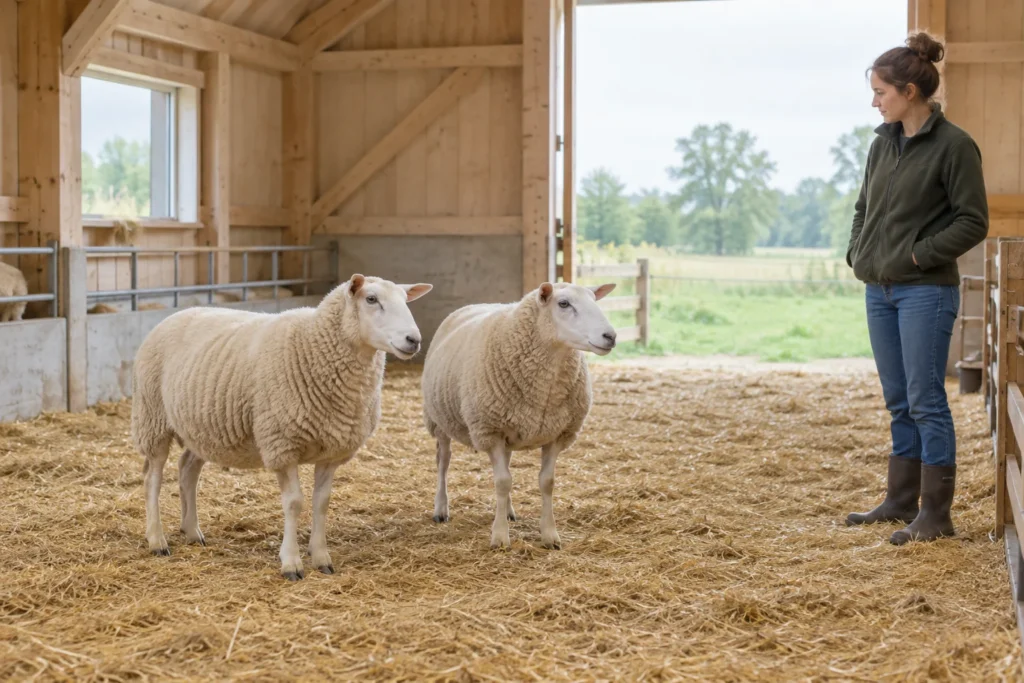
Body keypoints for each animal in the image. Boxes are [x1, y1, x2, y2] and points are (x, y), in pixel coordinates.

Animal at [131, 273, 433, 580]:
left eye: (405, 300)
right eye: (371, 299)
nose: (414, 340)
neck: (314, 344)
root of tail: (175, 315)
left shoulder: (332, 451)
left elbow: (322, 502)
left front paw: (321, 557)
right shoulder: (282, 444)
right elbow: (294, 502)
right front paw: (291, 562)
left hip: (202, 427)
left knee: (187, 470)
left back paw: (192, 531)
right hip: (152, 417)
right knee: (152, 478)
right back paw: (157, 540)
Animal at [421, 281, 618, 550]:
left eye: (594, 300)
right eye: (563, 303)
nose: (611, 336)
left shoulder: (557, 434)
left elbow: (546, 482)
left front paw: (549, 535)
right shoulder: (490, 430)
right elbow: (502, 482)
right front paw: (500, 537)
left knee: (506, 465)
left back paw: (509, 511)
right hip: (439, 420)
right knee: (443, 461)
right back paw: (441, 508)